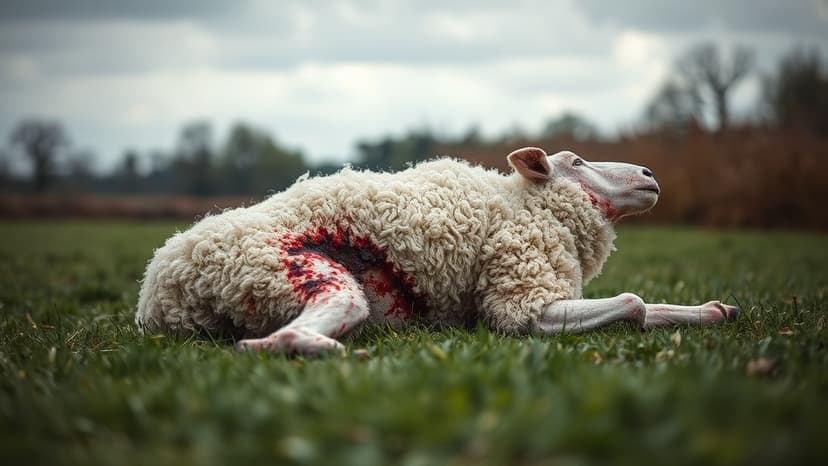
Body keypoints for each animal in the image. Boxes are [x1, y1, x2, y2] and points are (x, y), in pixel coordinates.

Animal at [135, 147, 739, 354]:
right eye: (577, 162)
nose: (649, 175)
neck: (528, 204)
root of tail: (158, 293)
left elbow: (651, 308)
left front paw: (716, 312)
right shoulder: (519, 299)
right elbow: (633, 303)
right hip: (288, 272)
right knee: (270, 341)